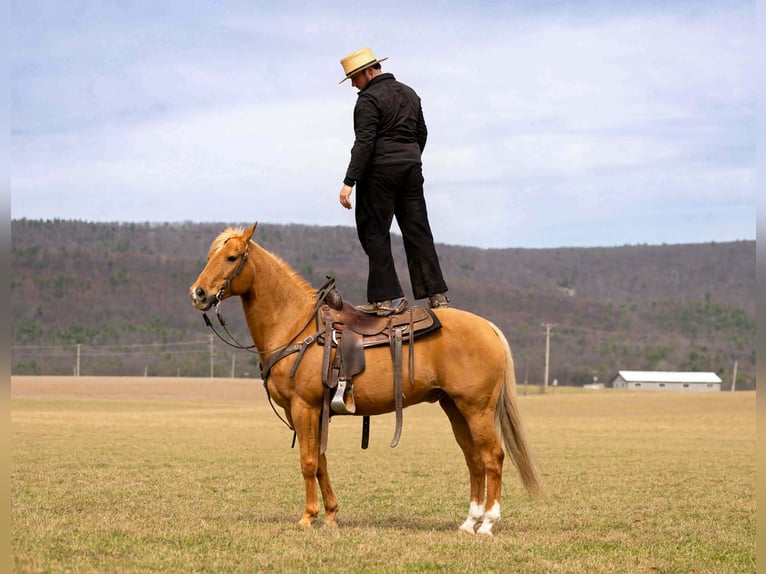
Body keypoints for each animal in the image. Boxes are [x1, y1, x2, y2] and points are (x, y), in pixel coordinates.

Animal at [189, 223, 542, 535]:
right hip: (456, 409)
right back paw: (470, 522)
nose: (198, 293)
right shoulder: (313, 412)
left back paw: (488, 524)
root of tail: (488, 327)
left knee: (493, 458)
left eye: (232, 257)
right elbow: (321, 461)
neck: (295, 325)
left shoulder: (303, 408)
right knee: (474, 460)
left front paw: (308, 517)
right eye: (209, 256)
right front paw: (331, 516)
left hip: (477, 409)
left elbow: (308, 462)